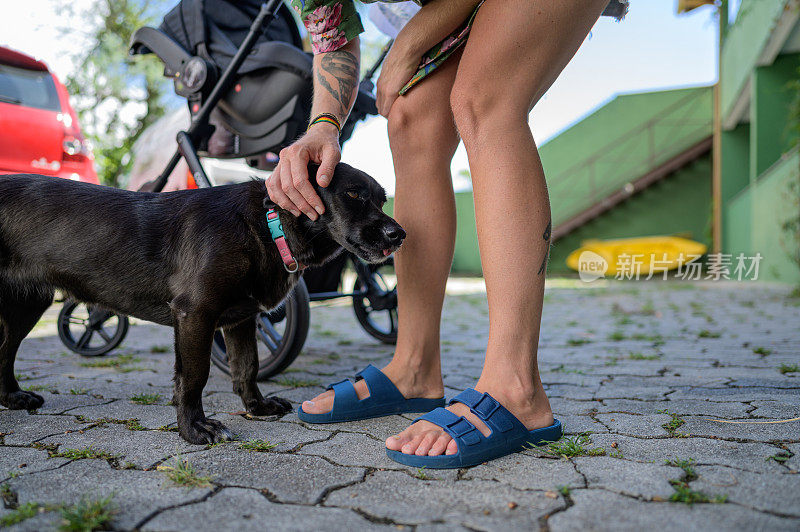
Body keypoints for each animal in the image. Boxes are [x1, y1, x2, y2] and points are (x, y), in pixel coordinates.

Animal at [0, 163, 404, 444]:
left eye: (381, 198)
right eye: (353, 194)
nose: (398, 234)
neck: (265, 225)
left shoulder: (240, 321)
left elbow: (247, 367)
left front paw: (257, 408)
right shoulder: (195, 314)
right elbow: (195, 377)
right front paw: (194, 428)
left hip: (27, 307)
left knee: (5, 352)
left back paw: (13, 398)